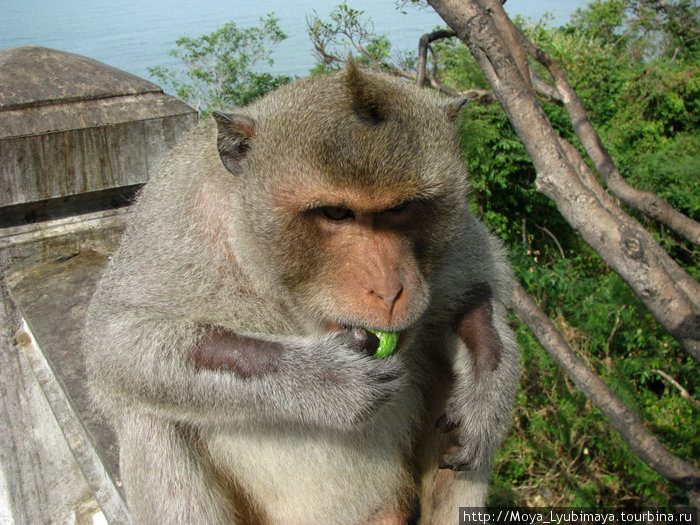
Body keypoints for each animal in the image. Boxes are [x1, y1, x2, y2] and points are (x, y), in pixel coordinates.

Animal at [83, 62, 520, 524]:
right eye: (335, 213)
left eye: (400, 208)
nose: (389, 290)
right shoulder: (177, 205)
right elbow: (117, 341)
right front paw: (327, 378)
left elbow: (480, 277)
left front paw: (487, 383)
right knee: (149, 417)